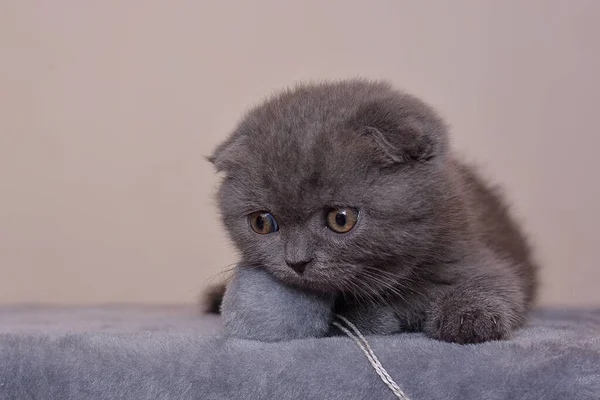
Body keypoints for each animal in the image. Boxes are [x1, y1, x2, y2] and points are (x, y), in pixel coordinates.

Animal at [207, 79, 540, 344]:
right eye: (262, 223)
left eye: (341, 219)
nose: (296, 262)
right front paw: (375, 315)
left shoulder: (472, 254)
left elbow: (499, 284)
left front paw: (469, 316)